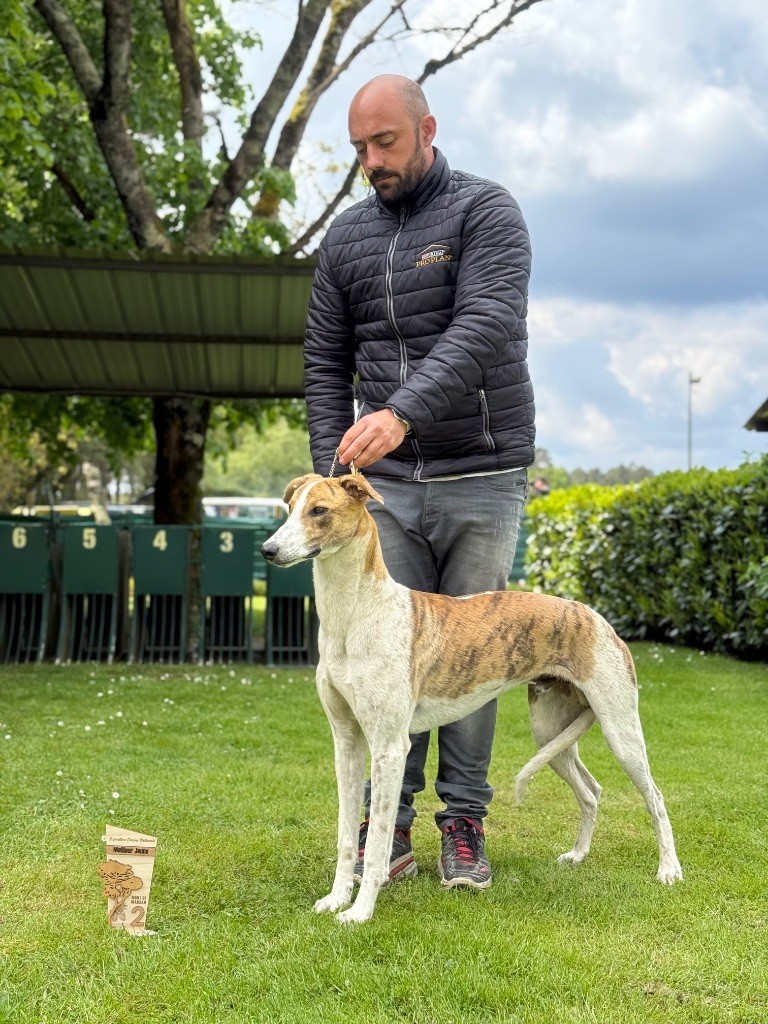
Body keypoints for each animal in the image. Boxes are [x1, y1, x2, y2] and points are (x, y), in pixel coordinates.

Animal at [261, 473, 682, 924]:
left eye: (319, 511)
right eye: (291, 508)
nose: (268, 550)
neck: (357, 614)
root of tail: (596, 617)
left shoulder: (389, 747)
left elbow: (376, 843)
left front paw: (360, 913)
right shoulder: (347, 742)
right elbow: (345, 836)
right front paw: (337, 898)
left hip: (621, 729)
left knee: (655, 797)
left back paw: (669, 870)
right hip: (550, 731)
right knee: (591, 790)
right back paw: (578, 855)